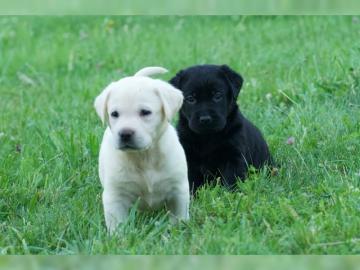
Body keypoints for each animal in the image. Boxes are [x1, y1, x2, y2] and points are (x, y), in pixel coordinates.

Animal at [94, 66, 190, 233]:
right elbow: (117, 223)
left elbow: (179, 217)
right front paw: (119, 237)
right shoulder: (115, 196)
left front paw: (178, 231)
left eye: (145, 112)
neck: (144, 156)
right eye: (114, 114)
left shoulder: (179, 190)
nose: (125, 133)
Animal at [170, 64, 272, 193]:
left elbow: (231, 179)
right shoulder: (188, 156)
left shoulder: (233, 157)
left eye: (217, 96)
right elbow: (190, 180)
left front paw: (230, 194)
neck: (207, 137)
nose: (205, 119)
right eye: (191, 99)